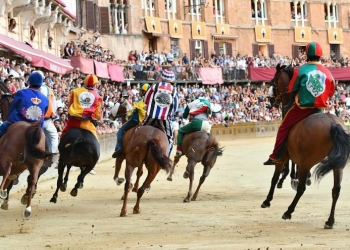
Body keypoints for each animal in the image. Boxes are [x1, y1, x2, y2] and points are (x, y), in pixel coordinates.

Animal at [262, 63, 350, 229]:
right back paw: (329, 221)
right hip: (338, 165)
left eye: (272, 80)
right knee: (336, 190)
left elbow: (274, 177)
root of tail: (333, 124)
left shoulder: (283, 156)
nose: (270, 101)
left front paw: (267, 200)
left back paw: (288, 211)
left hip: (307, 161)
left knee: (302, 188)